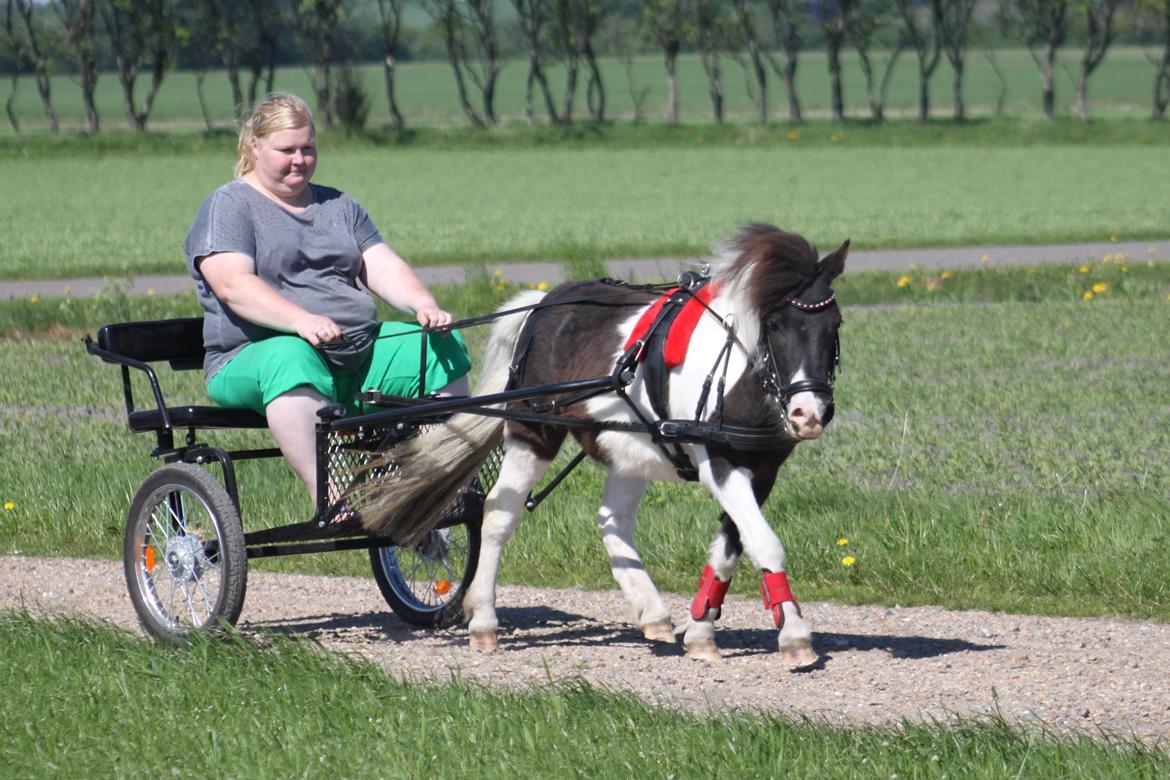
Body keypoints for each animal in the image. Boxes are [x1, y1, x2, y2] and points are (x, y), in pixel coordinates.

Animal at [360, 222, 847, 668]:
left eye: (834, 323)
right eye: (774, 324)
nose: (809, 414)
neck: (736, 373)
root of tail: (543, 303)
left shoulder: (762, 471)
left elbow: (732, 547)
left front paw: (702, 630)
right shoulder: (719, 463)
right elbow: (765, 543)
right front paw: (795, 636)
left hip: (629, 447)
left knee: (612, 520)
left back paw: (652, 611)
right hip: (533, 433)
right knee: (500, 512)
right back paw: (482, 619)